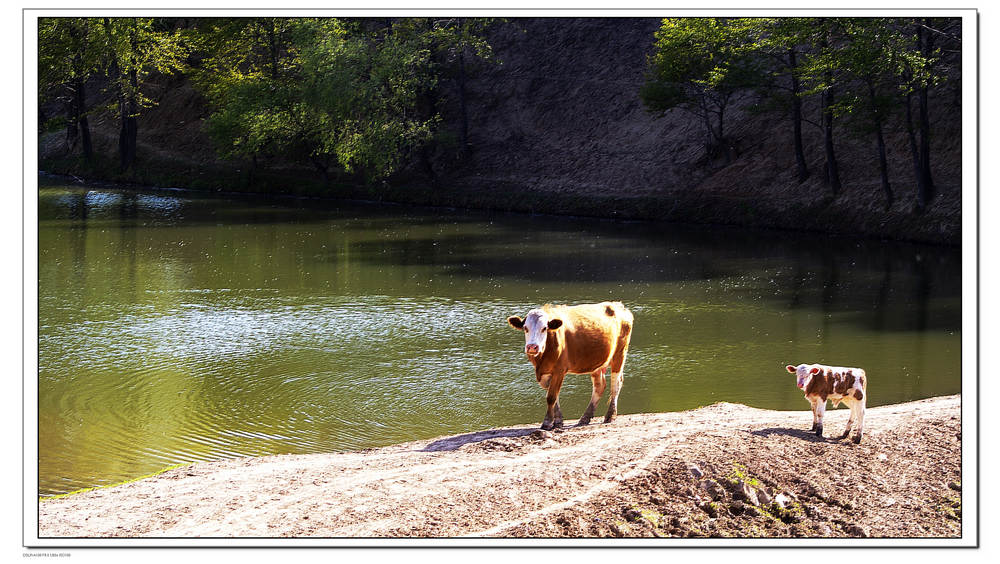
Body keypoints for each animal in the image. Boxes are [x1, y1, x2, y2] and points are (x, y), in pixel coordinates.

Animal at [508, 302, 632, 430]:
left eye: (544, 328)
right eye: (525, 328)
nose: (532, 347)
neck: (541, 360)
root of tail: (618, 305)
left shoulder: (559, 369)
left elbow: (551, 397)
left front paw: (547, 422)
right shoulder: (546, 373)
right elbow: (554, 396)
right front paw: (558, 421)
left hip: (620, 354)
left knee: (615, 384)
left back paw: (610, 415)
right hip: (597, 362)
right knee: (599, 386)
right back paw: (585, 418)